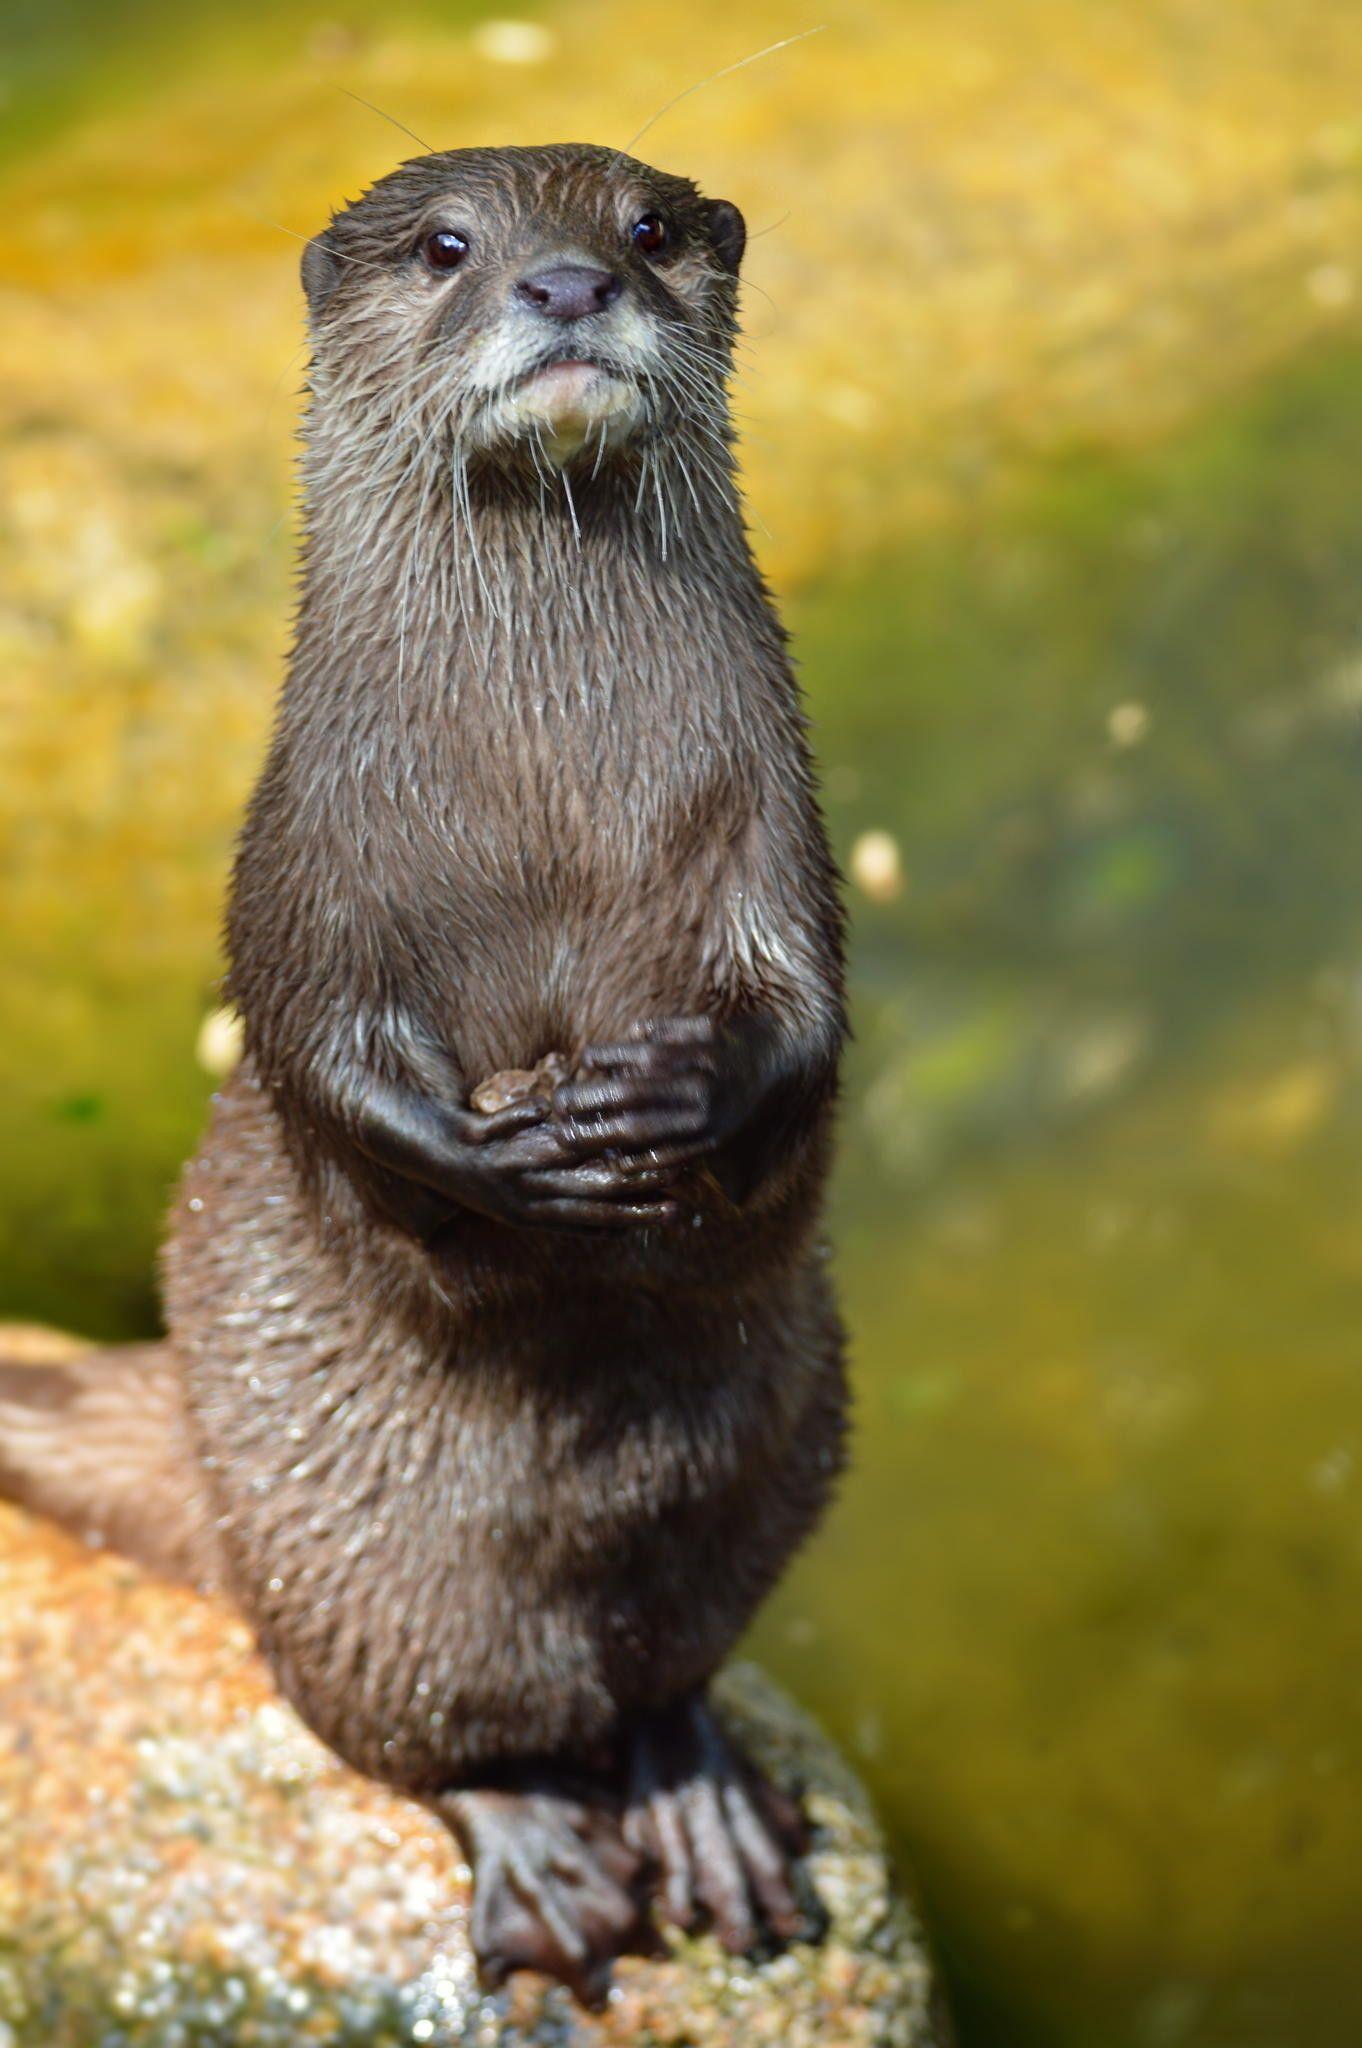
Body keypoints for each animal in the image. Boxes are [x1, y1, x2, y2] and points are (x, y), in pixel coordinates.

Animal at [0, 143, 849, 1998]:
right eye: (450, 245)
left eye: (647, 228)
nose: (564, 284)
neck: (543, 797)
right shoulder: (306, 866)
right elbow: (319, 1063)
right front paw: (500, 1162)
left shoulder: (772, 824)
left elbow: (807, 1022)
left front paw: (668, 1106)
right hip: (355, 1587)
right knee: (426, 1746)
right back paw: (546, 1859)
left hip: (777, 1479)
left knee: (664, 1678)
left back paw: (703, 1812)